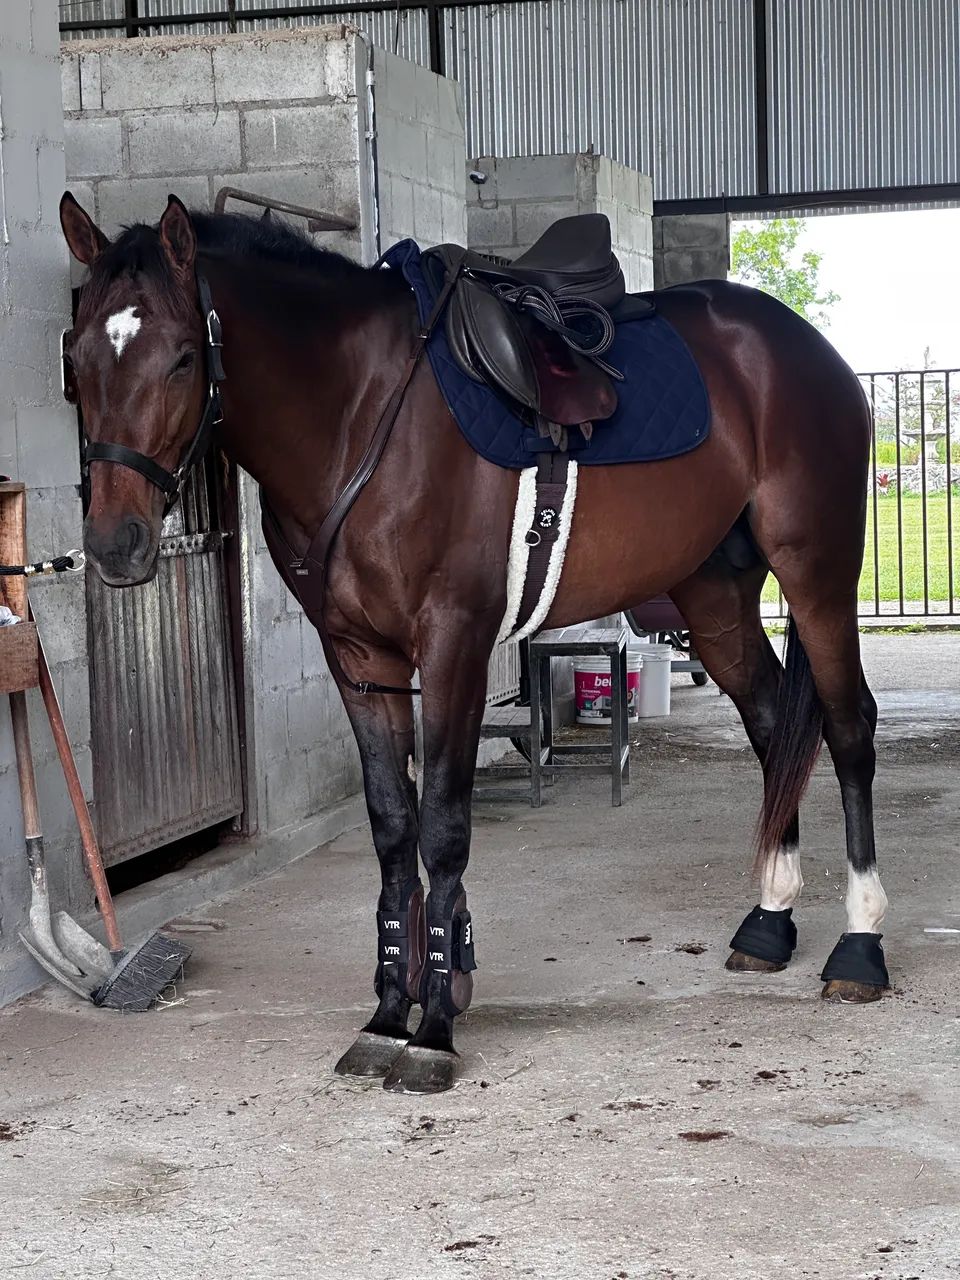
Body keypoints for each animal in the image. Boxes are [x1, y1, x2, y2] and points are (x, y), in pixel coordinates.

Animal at [58, 192, 887, 1095]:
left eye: (181, 358)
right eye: (74, 358)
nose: (116, 544)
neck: (357, 409)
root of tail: (802, 346)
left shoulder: (453, 641)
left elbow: (444, 826)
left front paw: (436, 1027)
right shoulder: (358, 658)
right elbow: (393, 828)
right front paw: (391, 1011)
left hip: (816, 570)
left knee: (847, 727)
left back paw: (861, 945)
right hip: (715, 596)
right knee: (773, 725)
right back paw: (769, 923)